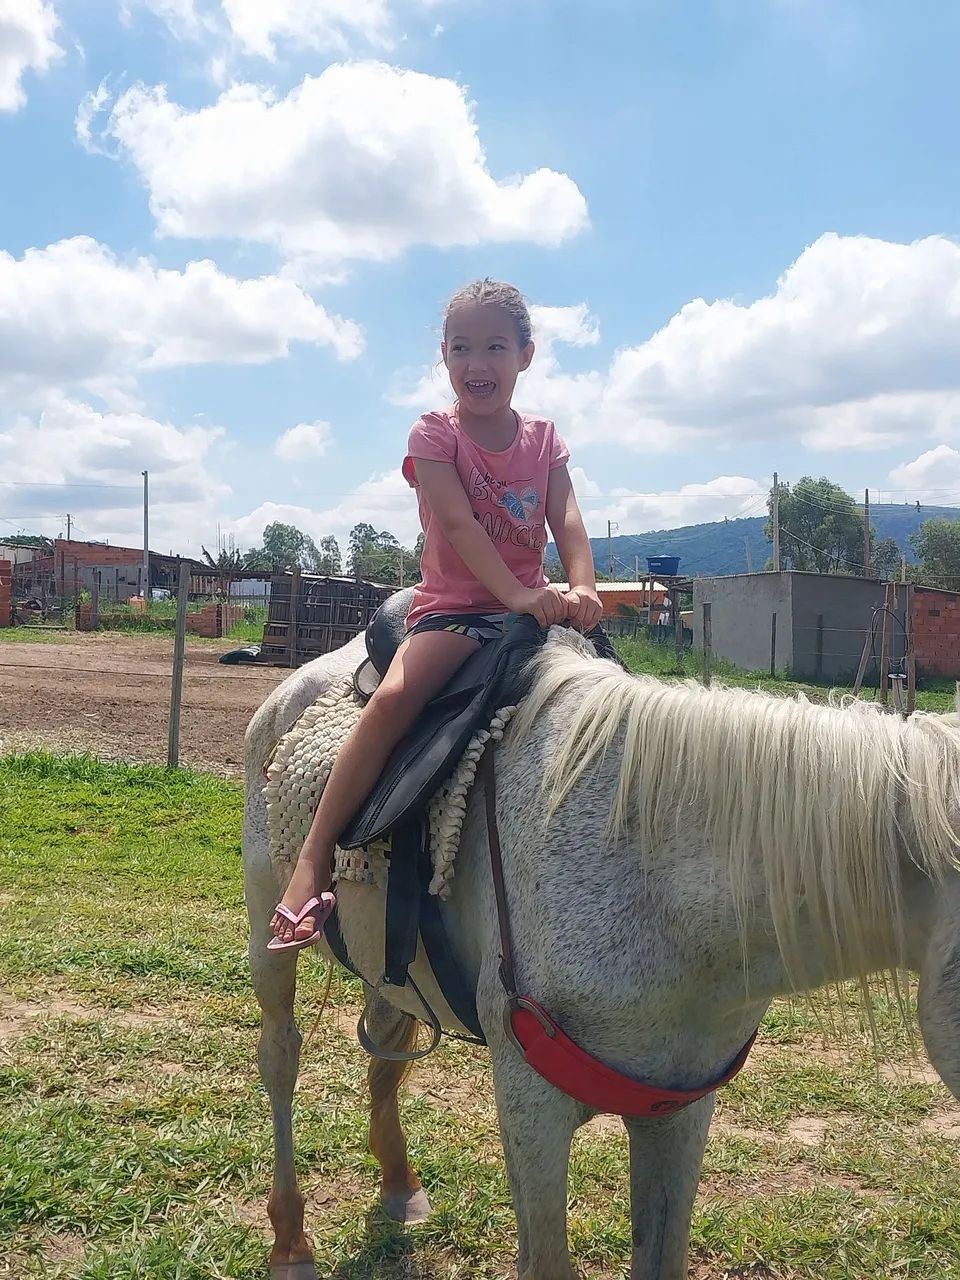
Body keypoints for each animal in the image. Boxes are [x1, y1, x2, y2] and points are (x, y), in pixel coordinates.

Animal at [243, 627, 960, 1280]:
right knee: (281, 1054)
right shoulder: (529, 1101)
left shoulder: (679, 1108)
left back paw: (398, 1183)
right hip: (267, 929)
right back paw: (291, 1242)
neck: (653, 881)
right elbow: (547, 1262)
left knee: (388, 1042)